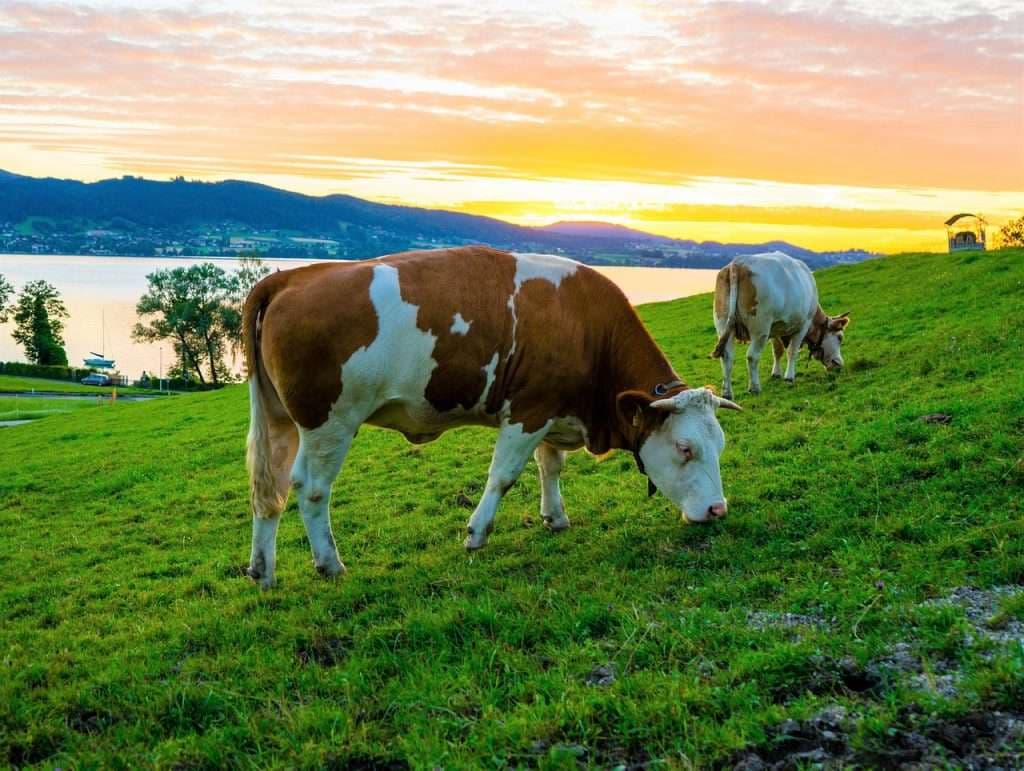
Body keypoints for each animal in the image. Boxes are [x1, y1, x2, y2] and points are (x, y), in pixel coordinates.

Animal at [242, 246, 742, 587]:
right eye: (684, 448)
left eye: (719, 444)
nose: (718, 509)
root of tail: (291, 278)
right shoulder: (527, 411)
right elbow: (503, 475)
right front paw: (477, 533)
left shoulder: (550, 409)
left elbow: (549, 467)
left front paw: (555, 517)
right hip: (329, 421)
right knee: (311, 488)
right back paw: (329, 563)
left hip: (279, 419)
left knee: (270, 489)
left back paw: (263, 571)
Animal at [710, 251, 850, 399]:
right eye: (840, 337)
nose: (839, 364)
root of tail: (738, 262)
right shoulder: (803, 325)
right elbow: (792, 351)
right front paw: (789, 377)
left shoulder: (776, 328)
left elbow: (777, 351)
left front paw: (776, 373)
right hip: (760, 328)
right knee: (752, 356)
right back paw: (754, 388)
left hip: (723, 324)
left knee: (727, 357)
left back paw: (727, 393)